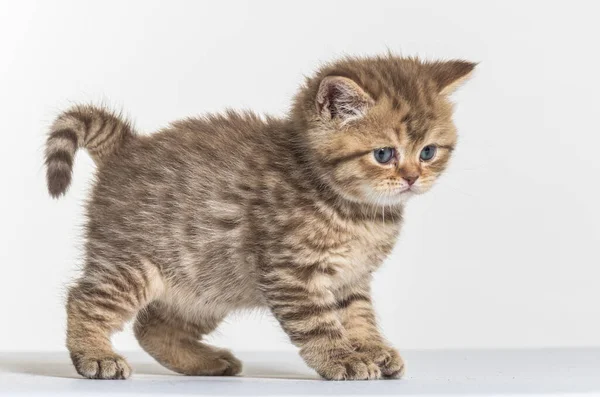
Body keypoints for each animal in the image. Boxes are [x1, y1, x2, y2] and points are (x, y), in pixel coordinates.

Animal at [44, 54, 476, 378]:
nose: (412, 178)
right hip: (134, 264)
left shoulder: (352, 276)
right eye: (384, 154)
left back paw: (207, 362)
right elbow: (319, 324)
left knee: (150, 326)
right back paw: (95, 354)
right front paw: (343, 358)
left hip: (208, 287)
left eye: (428, 152)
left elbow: (358, 316)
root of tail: (128, 147)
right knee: (83, 299)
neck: (358, 211)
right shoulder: (291, 272)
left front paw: (372, 349)